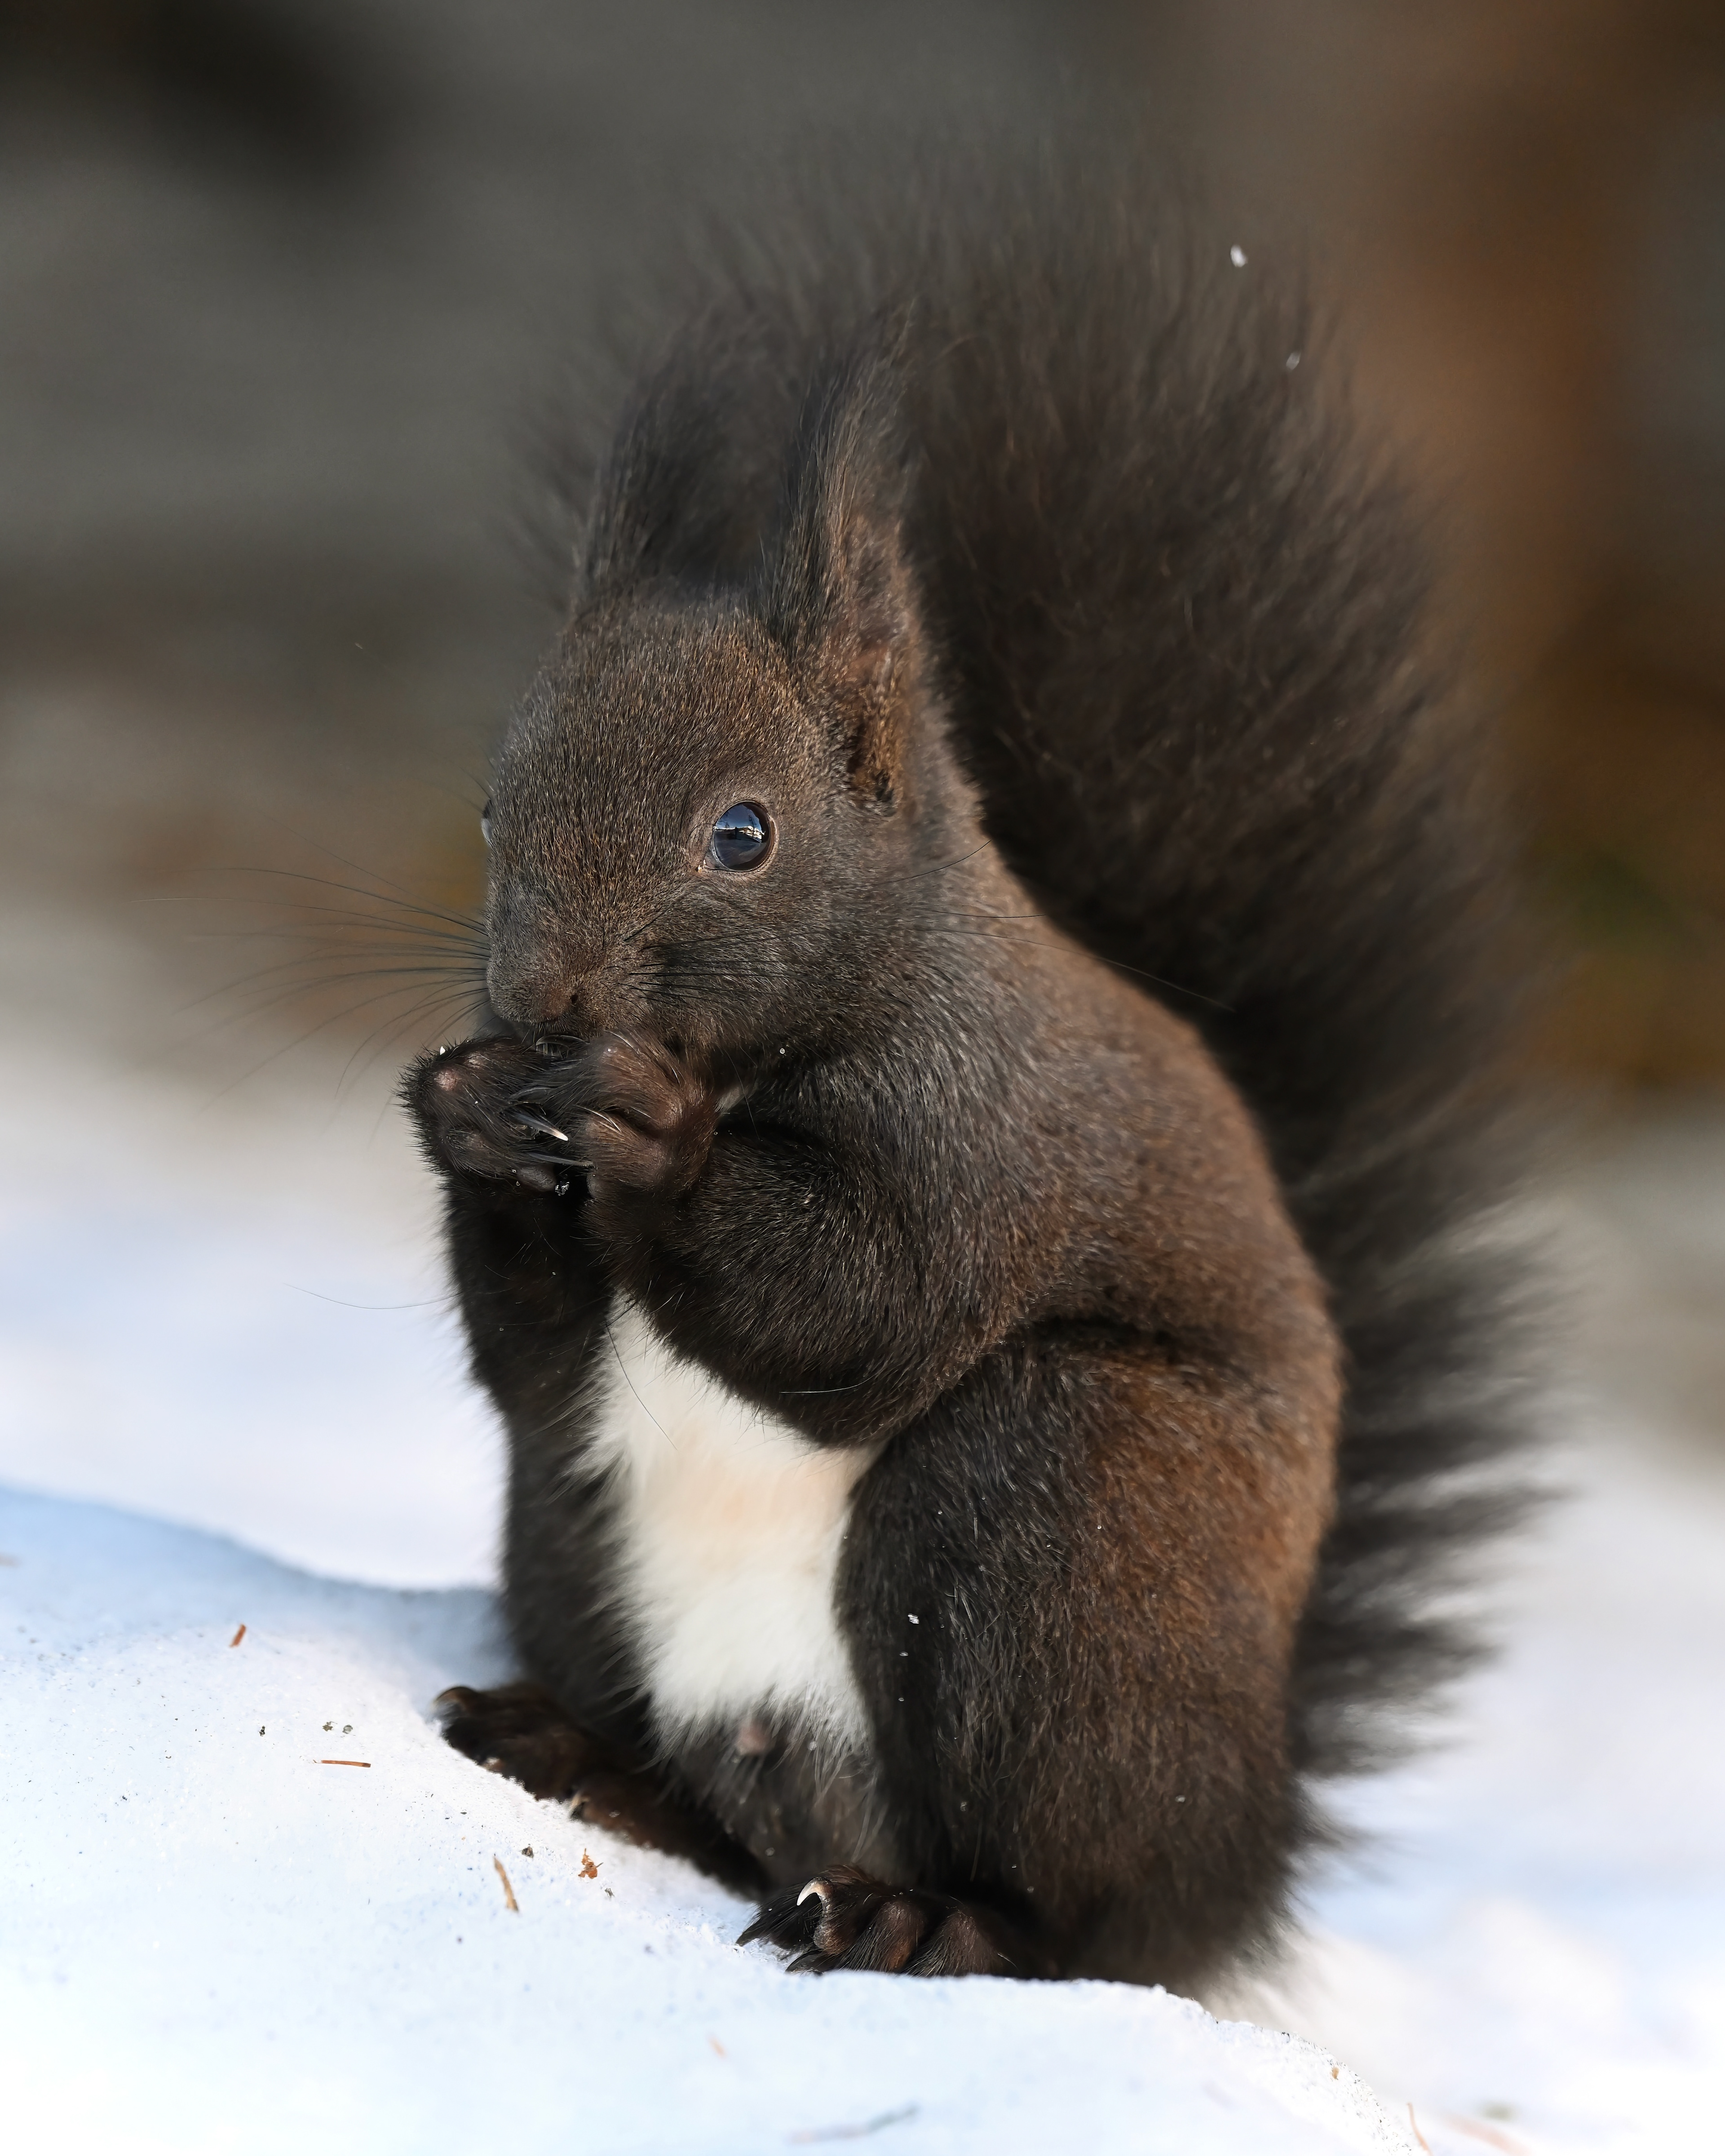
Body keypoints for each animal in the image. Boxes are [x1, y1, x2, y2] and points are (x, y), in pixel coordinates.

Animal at [405, 152, 1529, 1990]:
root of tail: (1253, 1834)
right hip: (569, 1542)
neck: (793, 1045)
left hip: (1066, 1513)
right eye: (496, 807)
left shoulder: (984, 1138)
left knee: (1079, 1914)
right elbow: (540, 1364)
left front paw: (653, 1140)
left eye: (741, 834)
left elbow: (873, 1303)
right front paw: (456, 1109)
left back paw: (932, 1917)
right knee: (701, 1789)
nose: (545, 1001)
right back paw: (571, 1749)